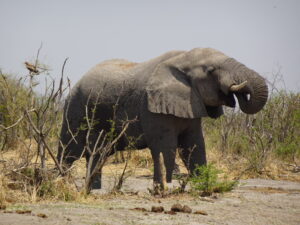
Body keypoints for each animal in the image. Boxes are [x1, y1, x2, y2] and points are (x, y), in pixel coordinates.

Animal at [57, 48, 268, 190]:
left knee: (99, 154)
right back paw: (61, 182)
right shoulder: (150, 107)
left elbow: (194, 144)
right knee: (70, 150)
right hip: (76, 109)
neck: (182, 59)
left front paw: (203, 184)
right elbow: (165, 145)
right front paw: (164, 187)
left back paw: (93, 189)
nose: (239, 91)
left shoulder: (190, 101)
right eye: (210, 70)